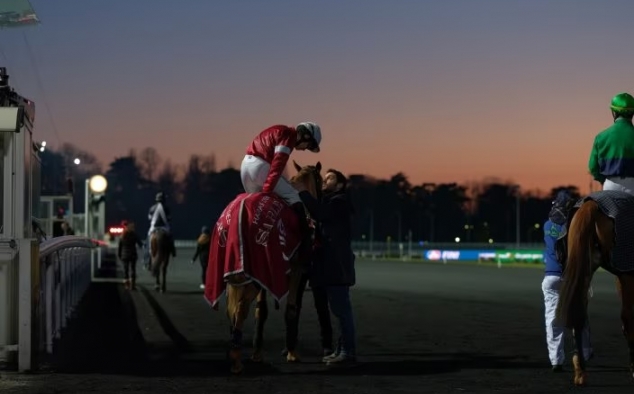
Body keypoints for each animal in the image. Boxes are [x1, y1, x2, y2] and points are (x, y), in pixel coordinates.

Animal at [204, 159, 320, 372]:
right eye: (321, 181)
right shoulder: (297, 270)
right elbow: (291, 308)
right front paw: (292, 352)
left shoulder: (264, 273)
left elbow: (261, 310)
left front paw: (257, 353)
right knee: (240, 309)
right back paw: (236, 359)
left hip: (236, 272)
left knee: (232, 310)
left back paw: (233, 349)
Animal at [552, 189, 632, 386]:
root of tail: (590, 204)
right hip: (625, 270)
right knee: (627, 317)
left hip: (585, 267)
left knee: (579, 315)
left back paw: (580, 371)